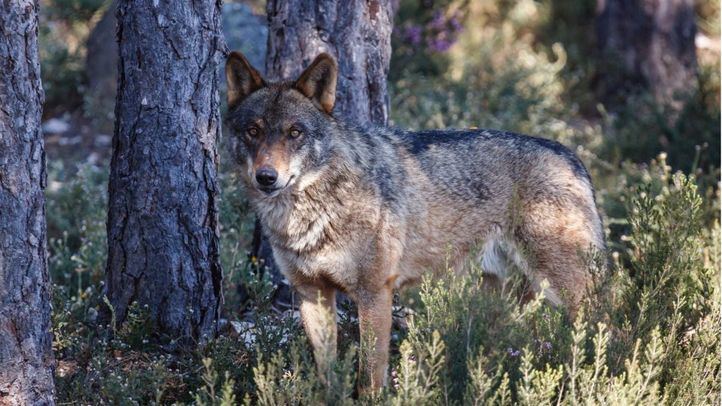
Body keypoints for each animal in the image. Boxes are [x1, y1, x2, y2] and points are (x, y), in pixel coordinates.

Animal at [224, 51, 605, 391]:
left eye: (294, 133)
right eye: (253, 131)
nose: (266, 177)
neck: (310, 213)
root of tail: (572, 156)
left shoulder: (374, 293)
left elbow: (370, 377)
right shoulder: (312, 292)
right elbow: (328, 374)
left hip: (562, 288)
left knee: (606, 327)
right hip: (497, 294)